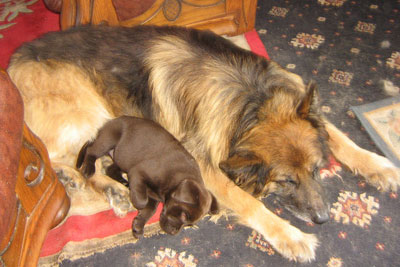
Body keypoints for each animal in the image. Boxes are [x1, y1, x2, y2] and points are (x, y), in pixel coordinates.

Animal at [7, 24, 400, 262]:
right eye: (286, 181)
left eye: (318, 170)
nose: (322, 219)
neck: (251, 103)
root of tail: (10, 64)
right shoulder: (205, 166)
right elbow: (249, 203)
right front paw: (291, 236)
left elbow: (341, 138)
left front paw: (380, 165)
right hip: (90, 113)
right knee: (67, 155)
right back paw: (89, 184)